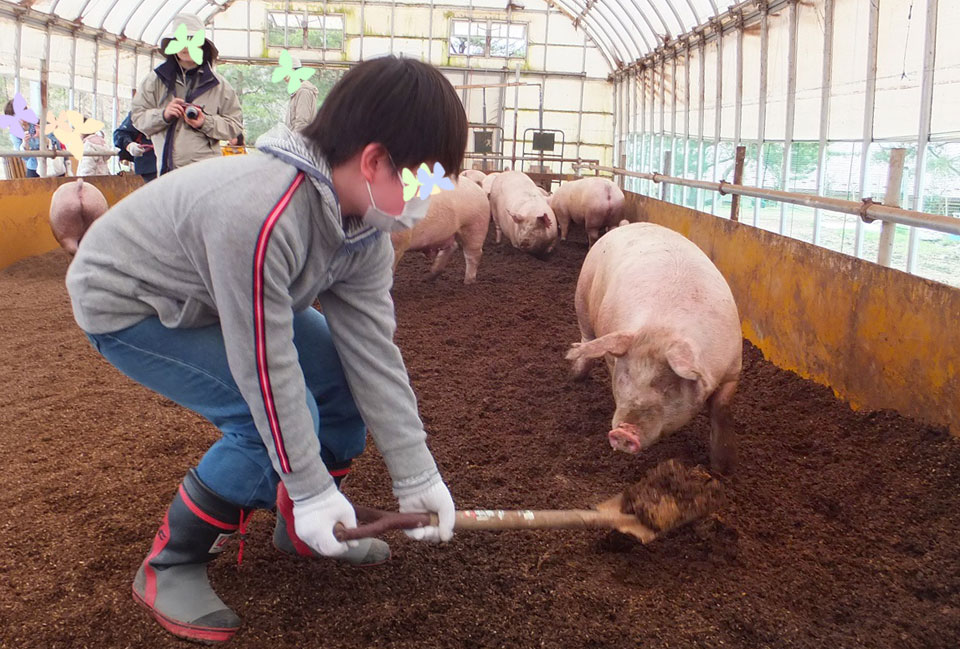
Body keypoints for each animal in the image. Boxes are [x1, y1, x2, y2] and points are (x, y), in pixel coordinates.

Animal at [564, 221, 744, 470]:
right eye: (625, 377)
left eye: (667, 385)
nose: (624, 432)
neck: (662, 329)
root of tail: (627, 225)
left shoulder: (732, 368)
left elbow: (722, 409)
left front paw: (724, 469)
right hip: (582, 294)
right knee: (586, 339)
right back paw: (575, 377)